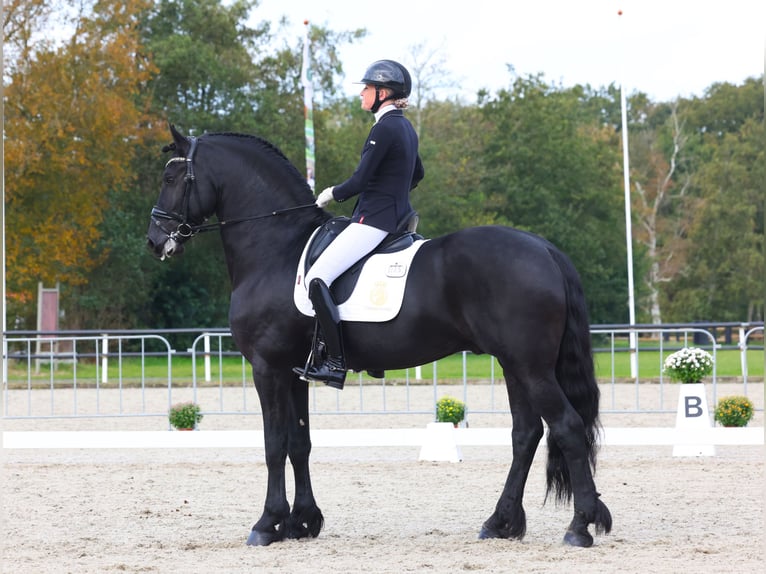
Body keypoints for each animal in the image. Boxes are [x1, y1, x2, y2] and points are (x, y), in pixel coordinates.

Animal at [147, 125, 616, 548]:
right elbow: (300, 442)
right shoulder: (295, 371)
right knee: (526, 435)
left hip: (530, 367)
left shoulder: (268, 367)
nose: (155, 241)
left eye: (171, 178)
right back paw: (501, 523)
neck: (275, 248)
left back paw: (579, 527)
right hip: (514, 365)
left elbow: (274, 444)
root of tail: (545, 249)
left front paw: (268, 524)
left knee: (567, 427)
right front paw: (303, 522)